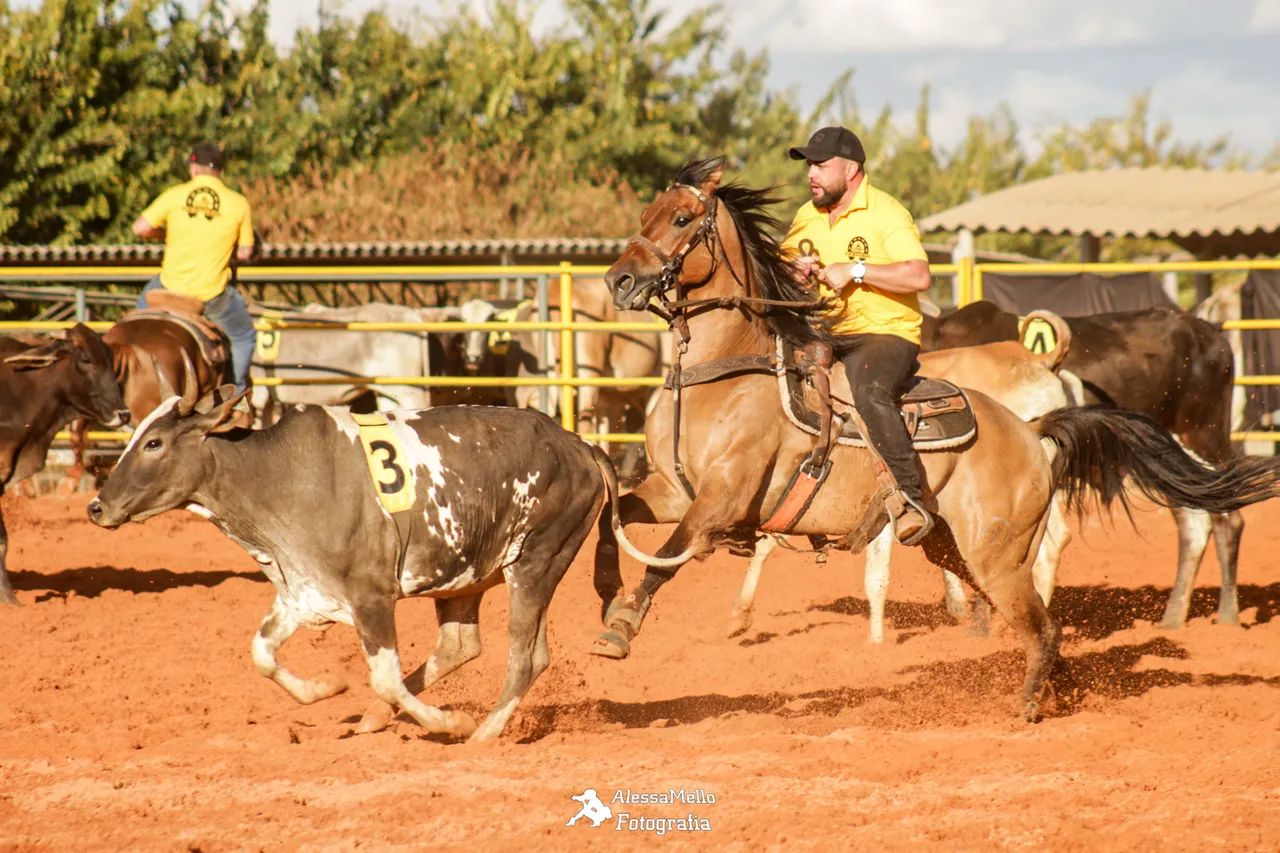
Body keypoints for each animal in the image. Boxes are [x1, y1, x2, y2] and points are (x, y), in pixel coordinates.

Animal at [588, 156, 1280, 720]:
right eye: (646, 214)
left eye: (682, 218)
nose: (619, 281)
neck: (727, 373)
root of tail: (1031, 433)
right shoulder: (674, 490)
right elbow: (613, 514)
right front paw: (604, 588)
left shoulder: (721, 501)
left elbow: (666, 557)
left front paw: (618, 629)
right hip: (960, 551)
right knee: (1050, 614)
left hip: (999, 554)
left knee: (1045, 621)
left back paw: (1032, 703)